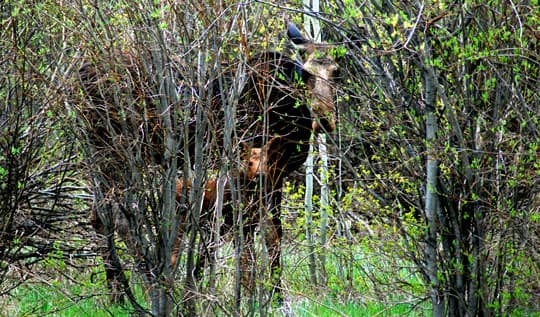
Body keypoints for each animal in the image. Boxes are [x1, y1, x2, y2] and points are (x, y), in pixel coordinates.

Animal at [77, 21, 338, 304]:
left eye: (336, 72)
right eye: (306, 74)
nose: (325, 119)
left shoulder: (270, 174)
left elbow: (271, 236)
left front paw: (274, 296)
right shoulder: (252, 169)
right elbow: (256, 234)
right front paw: (260, 297)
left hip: (102, 153)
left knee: (98, 215)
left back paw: (119, 293)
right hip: (114, 151)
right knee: (116, 217)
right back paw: (147, 286)